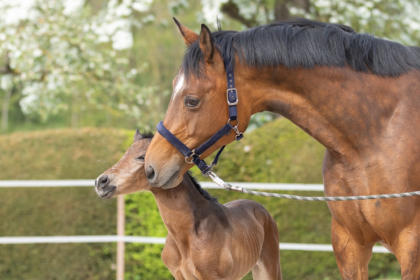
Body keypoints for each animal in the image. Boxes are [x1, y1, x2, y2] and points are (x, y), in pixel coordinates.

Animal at [95, 132, 282, 280]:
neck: (186, 237)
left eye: (141, 156)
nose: (101, 182)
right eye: (125, 154)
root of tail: (261, 209)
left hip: (268, 266)